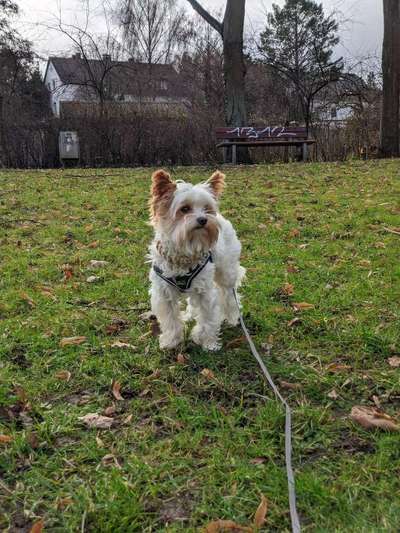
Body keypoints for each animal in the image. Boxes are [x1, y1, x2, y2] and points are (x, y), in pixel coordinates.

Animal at [148, 168, 245, 352]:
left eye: (206, 208)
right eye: (184, 209)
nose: (203, 219)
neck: (185, 252)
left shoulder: (205, 292)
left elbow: (208, 319)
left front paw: (207, 342)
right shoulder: (164, 293)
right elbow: (171, 320)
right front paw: (172, 340)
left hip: (226, 273)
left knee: (229, 295)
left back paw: (232, 317)